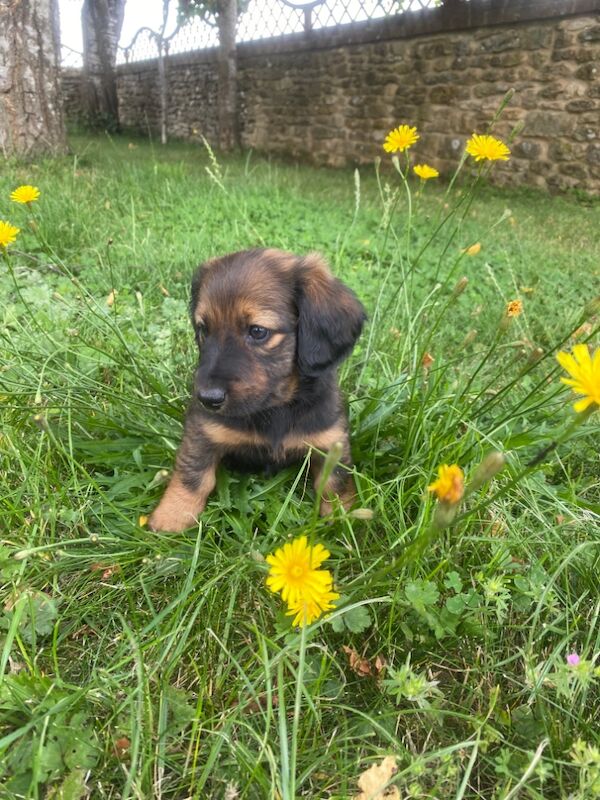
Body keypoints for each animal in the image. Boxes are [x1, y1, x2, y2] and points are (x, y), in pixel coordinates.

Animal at [149, 247, 366, 536]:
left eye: (258, 331)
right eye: (204, 329)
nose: (207, 399)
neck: (275, 409)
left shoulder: (330, 440)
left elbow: (335, 484)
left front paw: (345, 521)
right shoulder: (203, 430)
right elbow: (193, 473)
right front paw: (172, 516)